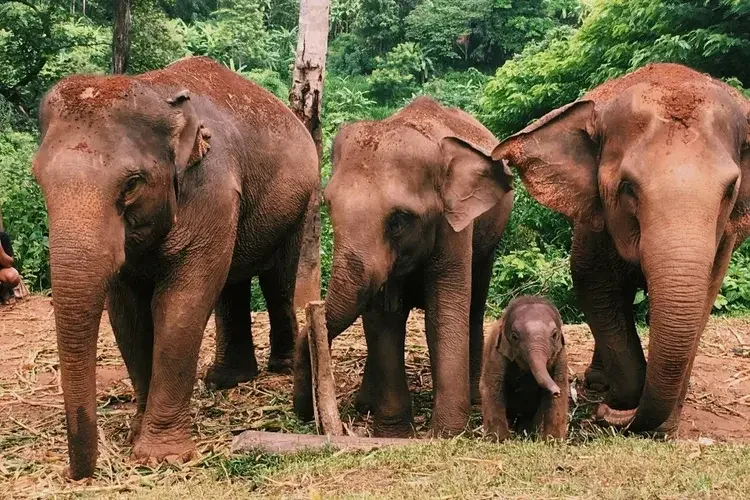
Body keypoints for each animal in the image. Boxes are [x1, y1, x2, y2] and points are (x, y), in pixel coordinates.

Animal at [32, 56, 318, 479]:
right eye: (38, 179)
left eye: (132, 184)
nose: (79, 473)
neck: (158, 95)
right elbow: (128, 313)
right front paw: (136, 435)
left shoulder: (211, 189)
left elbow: (181, 303)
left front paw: (160, 457)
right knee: (231, 283)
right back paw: (224, 380)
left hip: (300, 203)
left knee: (276, 279)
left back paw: (278, 367)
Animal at [293, 97, 514, 437]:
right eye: (329, 206)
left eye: (398, 220)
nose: (304, 413)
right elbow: (384, 318)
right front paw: (393, 434)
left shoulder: (454, 228)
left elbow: (444, 313)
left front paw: (446, 434)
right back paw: (365, 405)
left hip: (489, 240)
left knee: (475, 304)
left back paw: (475, 398)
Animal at [480, 295, 568, 441]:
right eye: (515, 336)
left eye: (554, 335)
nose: (556, 391)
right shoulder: (496, 353)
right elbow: (491, 386)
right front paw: (500, 439)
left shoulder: (561, 355)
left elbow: (561, 385)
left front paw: (552, 441)